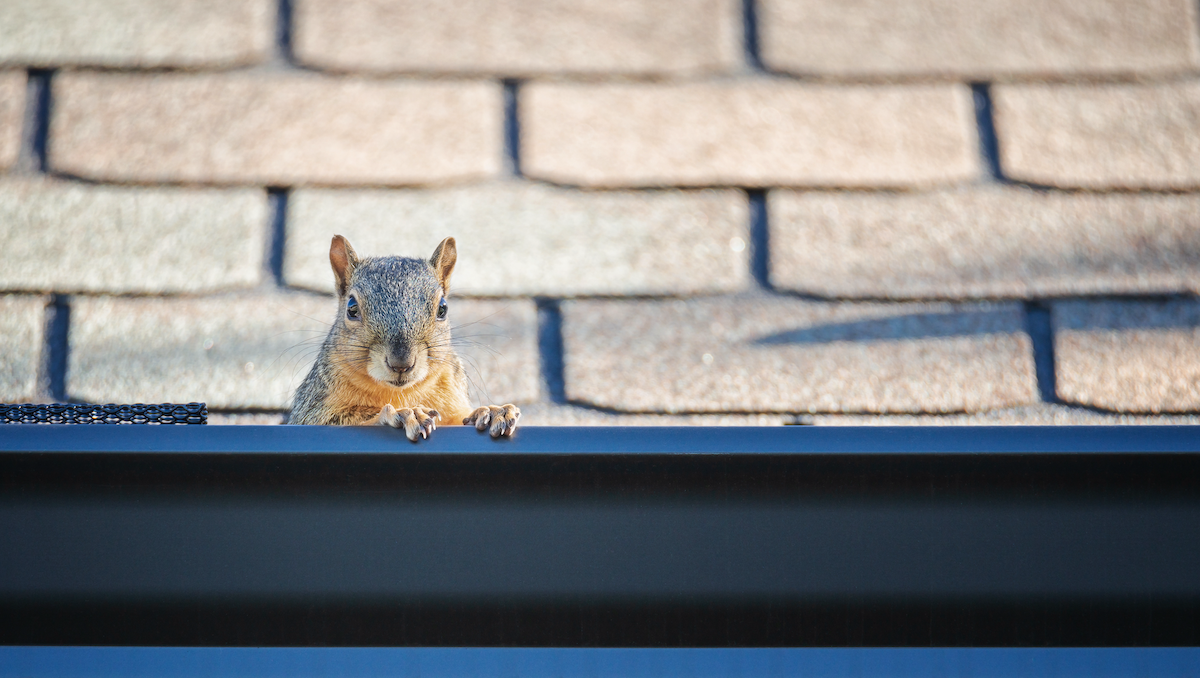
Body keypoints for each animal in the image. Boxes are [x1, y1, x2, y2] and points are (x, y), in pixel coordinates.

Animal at [290, 235, 520, 441]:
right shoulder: (311, 411)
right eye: (351, 308)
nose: (401, 364)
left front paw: (491, 412)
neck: (401, 392)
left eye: (443, 308)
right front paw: (402, 413)